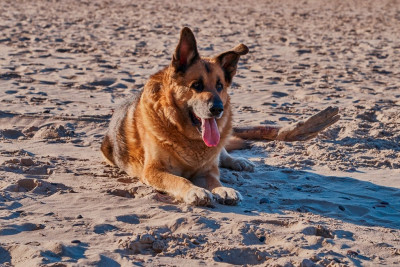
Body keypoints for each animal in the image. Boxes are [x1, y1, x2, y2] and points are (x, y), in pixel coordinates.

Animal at [101, 26, 340, 207]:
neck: (187, 137)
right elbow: (178, 180)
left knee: (224, 153)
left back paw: (239, 162)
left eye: (219, 86)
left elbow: (215, 178)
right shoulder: (153, 171)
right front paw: (194, 191)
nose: (217, 109)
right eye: (196, 86)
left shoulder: (208, 169)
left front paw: (223, 189)